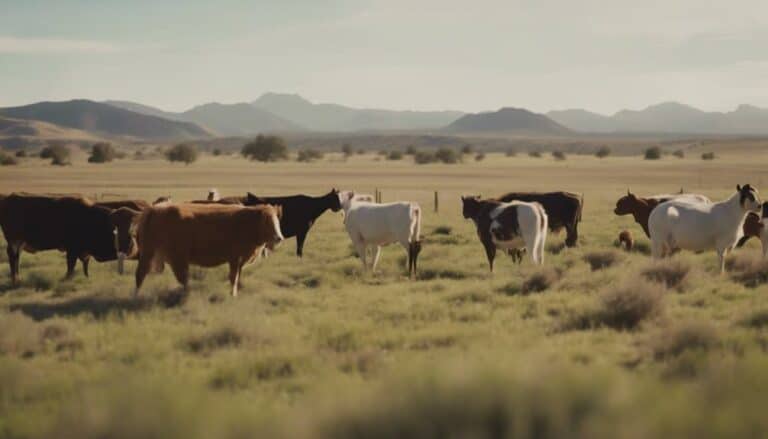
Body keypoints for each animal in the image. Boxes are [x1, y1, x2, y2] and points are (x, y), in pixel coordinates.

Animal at [0, 193, 135, 284]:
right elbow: (71, 265)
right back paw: (15, 279)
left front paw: (86, 277)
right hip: (14, 242)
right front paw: (67, 278)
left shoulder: (83, 251)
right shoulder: (72, 249)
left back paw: (17, 278)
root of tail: (8, 199)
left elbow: (85, 264)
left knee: (16, 258)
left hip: (19, 243)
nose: (132, 248)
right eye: (120, 235)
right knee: (13, 258)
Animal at [135, 205, 284, 298]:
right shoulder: (235, 258)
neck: (248, 222)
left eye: (277, 220)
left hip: (150, 254)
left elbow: (237, 277)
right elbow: (233, 278)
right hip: (166, 256)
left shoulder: (240, 260)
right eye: (266, 221)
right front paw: (233, 295)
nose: (279, 238)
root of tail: (155, 210)